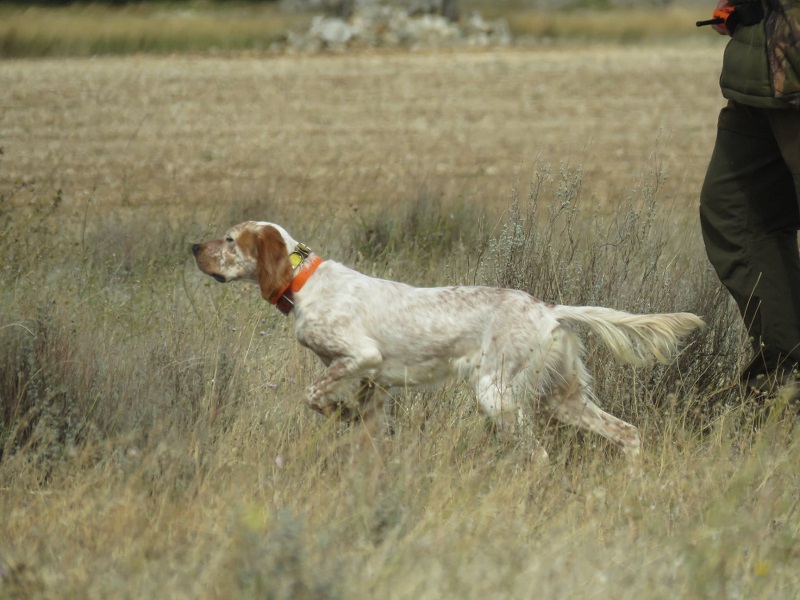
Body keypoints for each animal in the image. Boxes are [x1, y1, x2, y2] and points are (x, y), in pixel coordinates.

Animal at [192, 220, 700, 460]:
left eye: (230, 239)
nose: (194, 247)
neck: (304, 282)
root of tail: (549, 309)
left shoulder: (360, 355)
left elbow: (314, 395)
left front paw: (338, 412)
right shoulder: (374, 385)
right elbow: (367, 429)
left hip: (498, 393)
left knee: (539, 454)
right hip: (562, 395)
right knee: (628, 432)